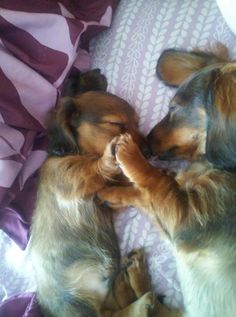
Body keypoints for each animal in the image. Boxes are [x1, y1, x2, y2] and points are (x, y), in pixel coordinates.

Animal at [29, 71, 157, 316]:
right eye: (117, 124)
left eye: (137, 122)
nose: (149, 152)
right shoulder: (67, 176)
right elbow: (91, 169)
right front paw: (110, 156)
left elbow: (120, 185)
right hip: (78, 307)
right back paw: (143, 298)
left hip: (105, 301)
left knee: (118, 308)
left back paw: (134, 278)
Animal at [97, 45, 236, 316]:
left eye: (173, 109)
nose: (146, 146)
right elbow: (145, 193)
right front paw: (110, 193)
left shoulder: (185, 217)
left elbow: (154, 182)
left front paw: (130, 154)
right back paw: (136, 276)